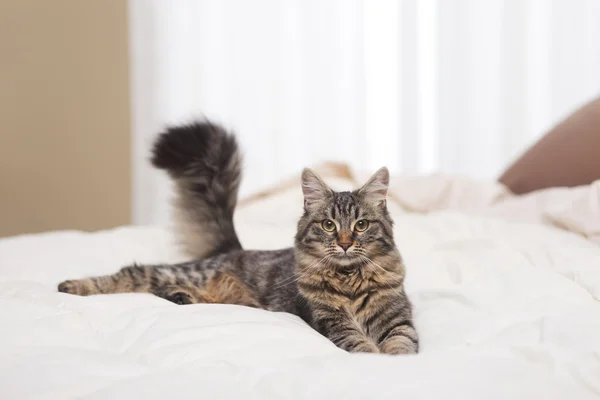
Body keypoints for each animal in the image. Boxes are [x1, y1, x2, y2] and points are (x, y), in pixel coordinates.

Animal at [59, 121, 418, 354]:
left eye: (361, 225)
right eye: (329, 225)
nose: (344, 243)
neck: (350, 278)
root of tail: (231, 249)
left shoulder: (398, 317)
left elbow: (402, 343)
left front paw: (395, 361)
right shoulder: (330, 319)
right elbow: (359, 343)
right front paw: (372, 355)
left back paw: (182, 297)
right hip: (188, 272)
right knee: (134, 273)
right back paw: (73, 286)